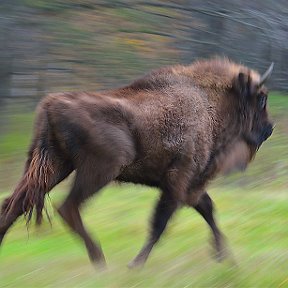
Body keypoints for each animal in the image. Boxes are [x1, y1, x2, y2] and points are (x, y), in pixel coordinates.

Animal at [0, 58, 274, 268]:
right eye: (260, 99)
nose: (269, 129)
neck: (207, 103)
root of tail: (51, 104)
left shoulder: (189, 184)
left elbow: (206, 210)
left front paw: (226, 258)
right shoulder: (179, 180)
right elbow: (161, 222)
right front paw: (135, 265)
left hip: (54, 166)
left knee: (14, 204)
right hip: (99, 170)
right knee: (67, 207)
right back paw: (100, 260)